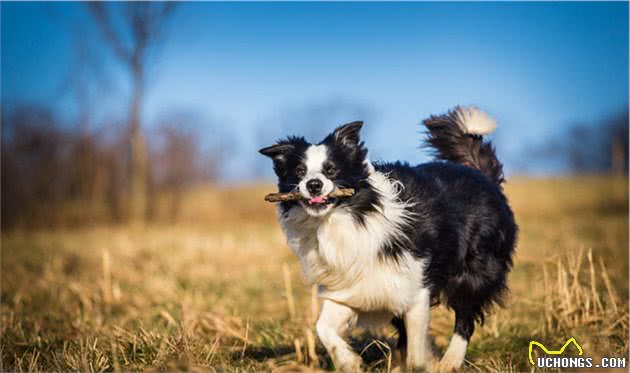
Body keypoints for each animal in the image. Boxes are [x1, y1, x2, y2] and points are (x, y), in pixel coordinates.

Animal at [260, 106, 520, 370]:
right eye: (299, 171)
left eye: (331, 169)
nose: (313, 185)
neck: (343, 220)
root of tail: (481, 175)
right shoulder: (351, 287)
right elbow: (324, 328)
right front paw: (349, 362)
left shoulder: (415, 289)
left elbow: (416, 356)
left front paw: (424, 365)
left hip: (474, 271)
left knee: (465, 317)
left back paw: (450, 362)